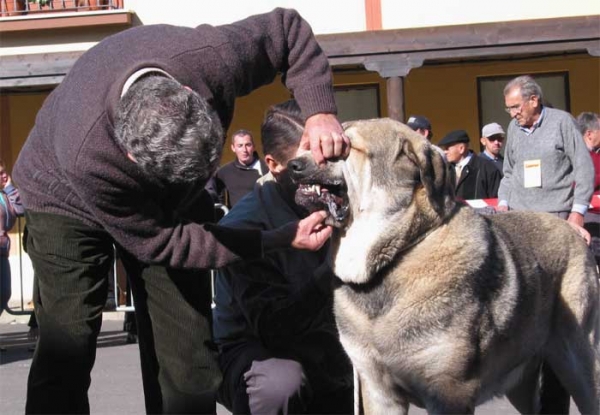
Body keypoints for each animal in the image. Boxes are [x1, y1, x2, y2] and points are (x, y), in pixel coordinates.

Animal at [288, 118, 596, 414]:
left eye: (344, 147)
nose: (293, 165)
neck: (398, 254)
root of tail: (573, 231)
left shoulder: (449, 393)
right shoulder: (378, 391)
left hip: (580, 364)